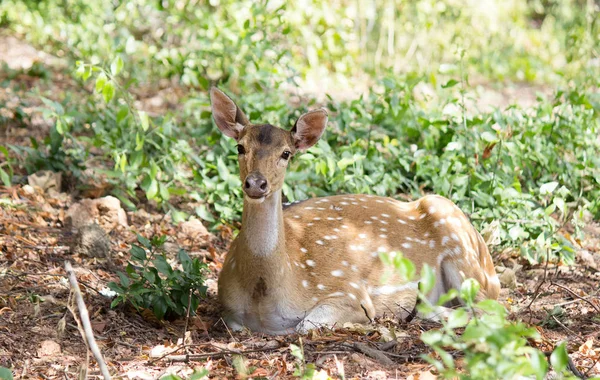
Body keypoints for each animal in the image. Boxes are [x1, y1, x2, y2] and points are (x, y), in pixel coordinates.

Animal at [213, 87, 500, 334]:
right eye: (240, 147)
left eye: (286, 153)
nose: (256, 183)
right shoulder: (227, 311)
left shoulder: (349, 292)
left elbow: (306, 325)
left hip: (463, 252)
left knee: (491, 308)